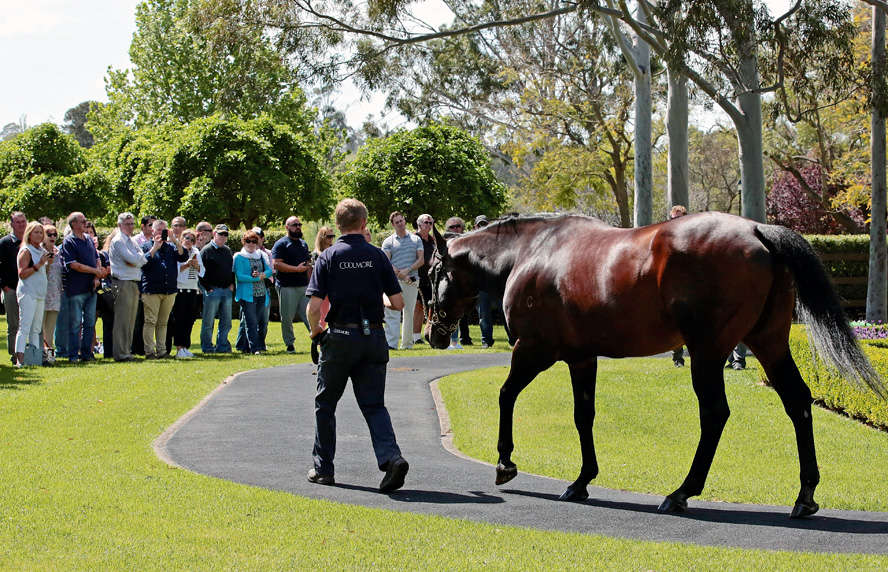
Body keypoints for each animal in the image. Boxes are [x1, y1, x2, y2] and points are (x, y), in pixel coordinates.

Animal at [424, 212, 884, 518]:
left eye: (432, 273)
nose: (433, 333)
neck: (532, 252)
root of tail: (757, 229)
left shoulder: (534, 349)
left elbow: (506, 395)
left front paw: (505, 463)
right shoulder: (581, 357)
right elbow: (583, 415)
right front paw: (582, 480)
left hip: (708, 350)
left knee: (715, 413)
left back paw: (682, 492)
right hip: (768, 343)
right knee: (798, 402)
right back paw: (804, 495)